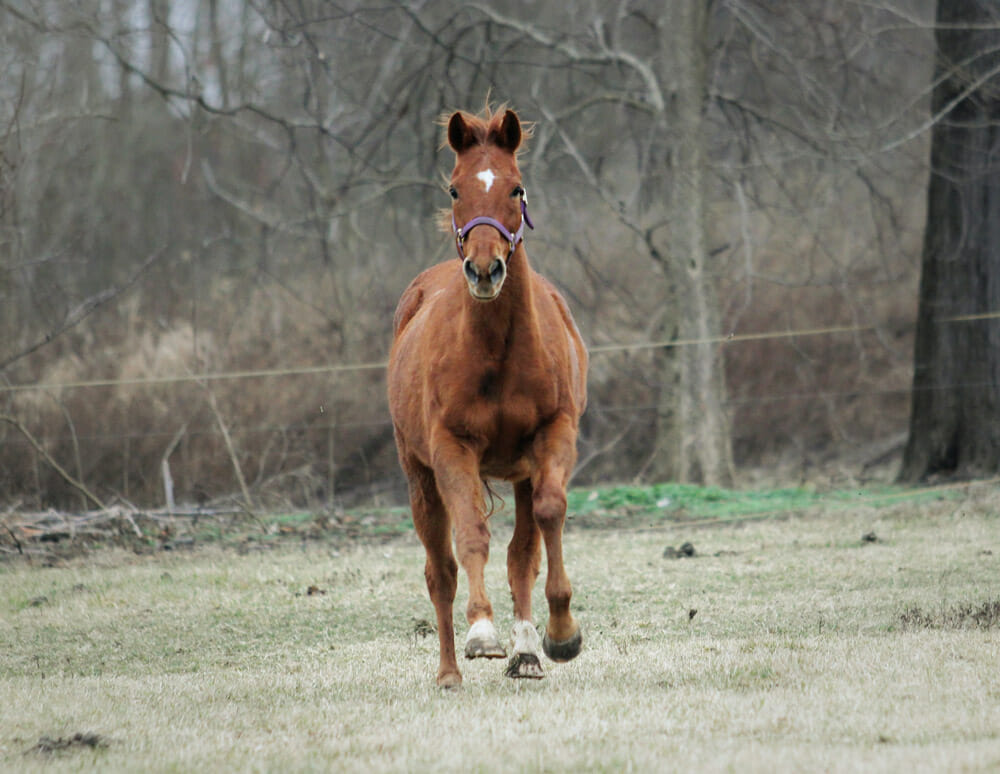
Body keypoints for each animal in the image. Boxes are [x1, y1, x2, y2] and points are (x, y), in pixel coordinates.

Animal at [384, 106, 584, 688]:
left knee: (522, 554)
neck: (499, 349)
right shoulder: (453, 449)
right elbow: (471, 535)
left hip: (519, 470)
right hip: (420, 477)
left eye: (516, 189)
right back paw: (450, 671)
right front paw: (481, 633)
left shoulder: (553, 436)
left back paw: (528, 653)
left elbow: (546, 518)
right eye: (455, 189)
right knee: (441, 571)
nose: (484, 269)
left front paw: (559, 634)